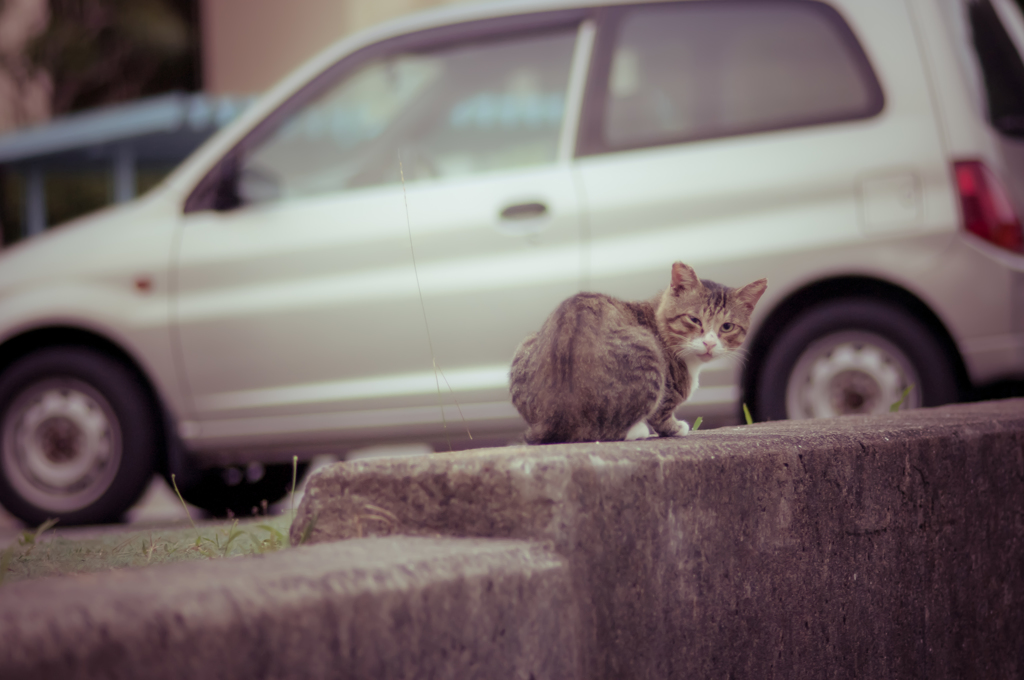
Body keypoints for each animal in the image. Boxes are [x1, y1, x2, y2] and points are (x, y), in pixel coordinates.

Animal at [507, 261, 765, 446]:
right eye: (694, 319)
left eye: (727, 327)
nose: (710, 343)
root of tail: (555, 419)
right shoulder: (666, 394)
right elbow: (661, 416)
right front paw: (676, 428)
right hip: (647, 351)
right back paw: (637, 430)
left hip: (524, 348)